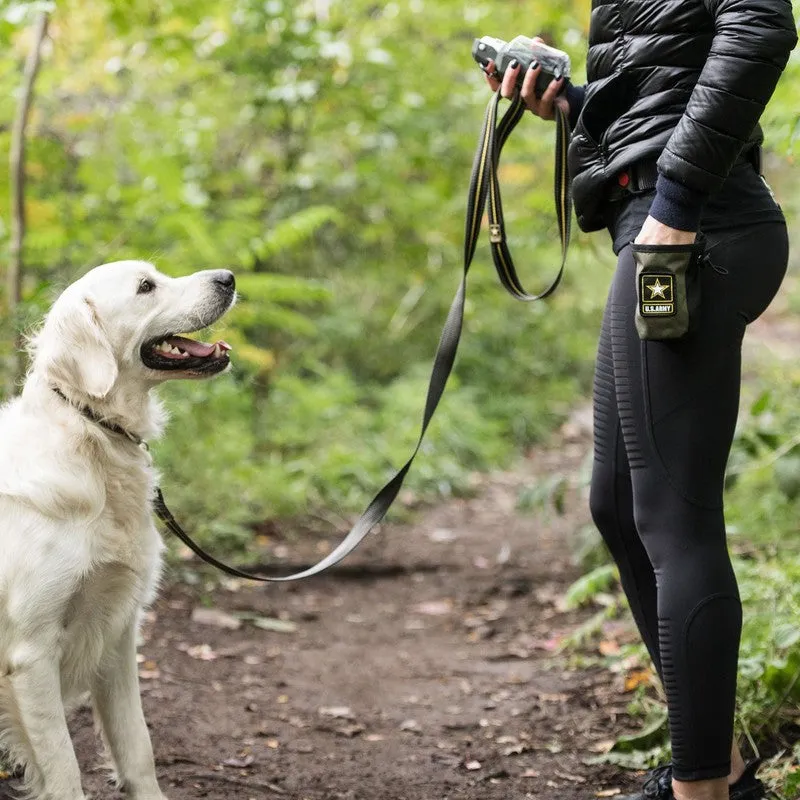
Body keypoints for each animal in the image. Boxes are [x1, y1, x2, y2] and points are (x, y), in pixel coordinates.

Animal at [0, 260, 236, 796]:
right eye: (146, 286)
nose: (229, 278)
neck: (91, 431)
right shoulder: (30, 653)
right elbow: (64, 768)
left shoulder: (118, 631)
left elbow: (137, 746)